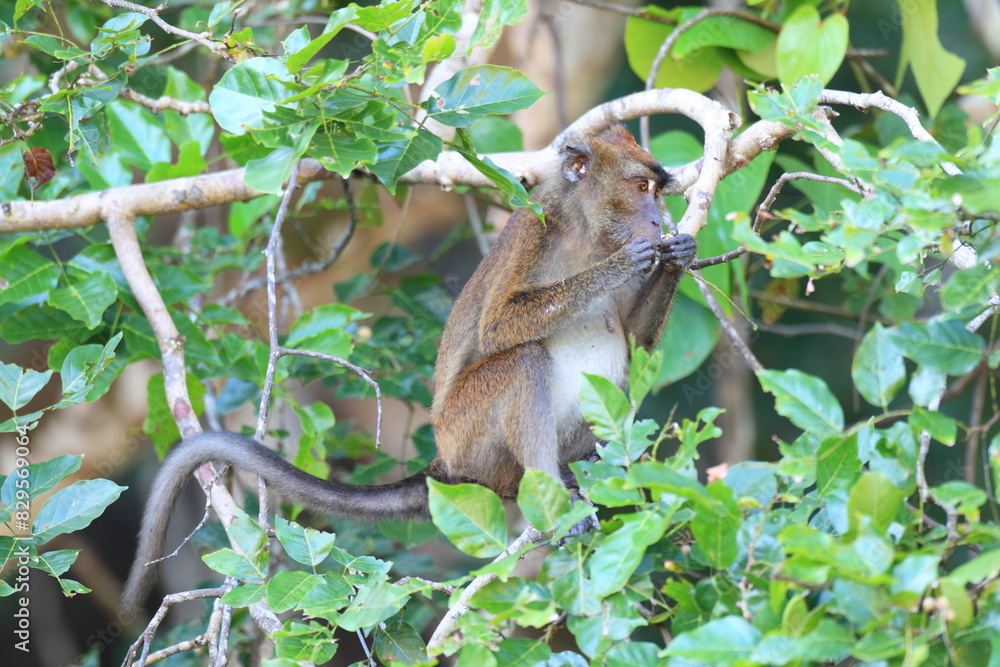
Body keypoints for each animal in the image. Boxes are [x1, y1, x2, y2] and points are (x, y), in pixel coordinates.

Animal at [120, 125, 696, 616]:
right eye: (640, 187)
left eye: (656, 190)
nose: (657, 221)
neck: (586, 233)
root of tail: (445, 462)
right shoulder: (534, 233)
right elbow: (498, 327)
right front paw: (621, 265)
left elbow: (636, 343)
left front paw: (679, 253)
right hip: (469, 434)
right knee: (521, 360)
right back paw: (552, 496)